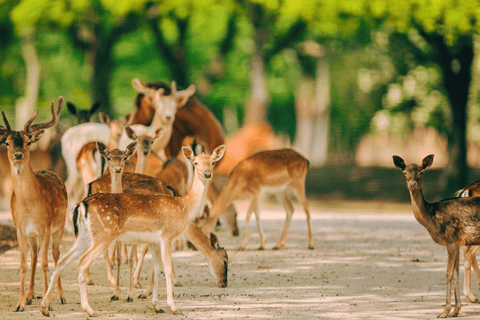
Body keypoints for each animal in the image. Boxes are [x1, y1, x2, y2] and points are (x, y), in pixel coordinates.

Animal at [0, 98, 67, 312]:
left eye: (28, 142)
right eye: (6, 142)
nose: (18, 155)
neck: (29, 207)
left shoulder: (45, 226)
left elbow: (46, 263)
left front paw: (47, 304)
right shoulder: (20, 229)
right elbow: (23, 264)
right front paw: (20, 303)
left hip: (60, 226)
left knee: (56, 254)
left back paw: (60, 296)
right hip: (33, 235)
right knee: (35, 255)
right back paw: (30, 296)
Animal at [39, 145, 227, 318]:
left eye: (212, 162)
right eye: (195, 163)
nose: (207, 174)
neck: (184, 208)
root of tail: (81, 205)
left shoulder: (153, 241)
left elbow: (156, 269)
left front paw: (156, 306)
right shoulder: (167, 235)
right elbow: (167, 269)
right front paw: (173, 307)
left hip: (84, 237)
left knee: (62, 261)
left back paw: (45, 308)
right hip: (104, 235)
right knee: (81, 263)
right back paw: (89, 310)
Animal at [394, 155, 480, 318]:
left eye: (421, 172)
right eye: (404, 172)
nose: (412, 183)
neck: (432, 216)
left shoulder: (451, 240)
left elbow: (448, 274)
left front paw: (445, 311)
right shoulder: (456, 242)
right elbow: (455, 274)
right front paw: (455, 310)